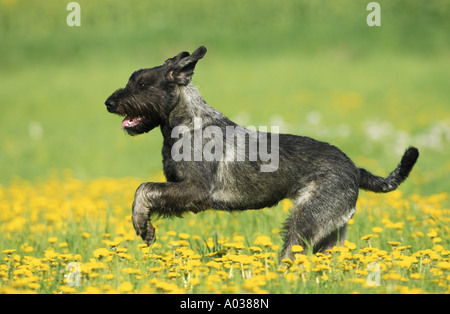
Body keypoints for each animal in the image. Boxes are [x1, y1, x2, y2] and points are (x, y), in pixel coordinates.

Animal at [105, 46, 418, 258]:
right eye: (132, 80)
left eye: (143, 84)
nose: (109, 102)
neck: (188, 123)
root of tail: (355, 169)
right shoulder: (178, 188)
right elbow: (150, 192)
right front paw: (145, 226)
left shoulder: (196, 189)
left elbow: (144, 189)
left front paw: (141, 224)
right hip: (330, 233)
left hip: (305, 221)